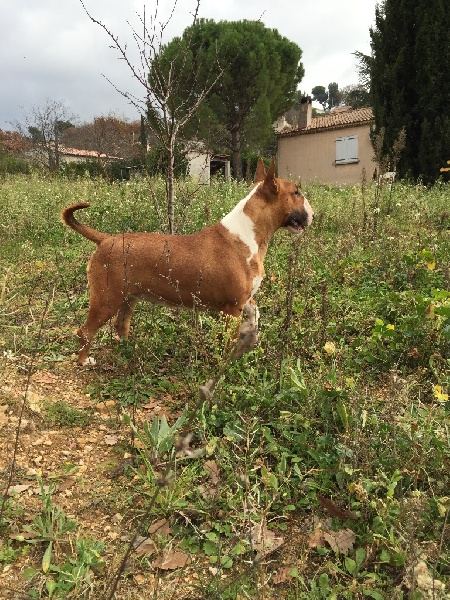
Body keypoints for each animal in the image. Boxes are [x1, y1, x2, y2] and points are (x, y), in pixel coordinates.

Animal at [60, 157, 312, 384]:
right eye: (296, 192)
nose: (313, 214)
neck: (247, 234)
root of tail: (105, 240)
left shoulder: (244, 300)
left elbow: (255, 314)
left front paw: (250, 338)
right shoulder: (232, 308)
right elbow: (228, 342)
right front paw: (226, 367)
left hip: (128, 298)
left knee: (121, 325)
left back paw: (130, 349)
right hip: (107, 299)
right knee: (85, 331)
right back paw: (84, 361)